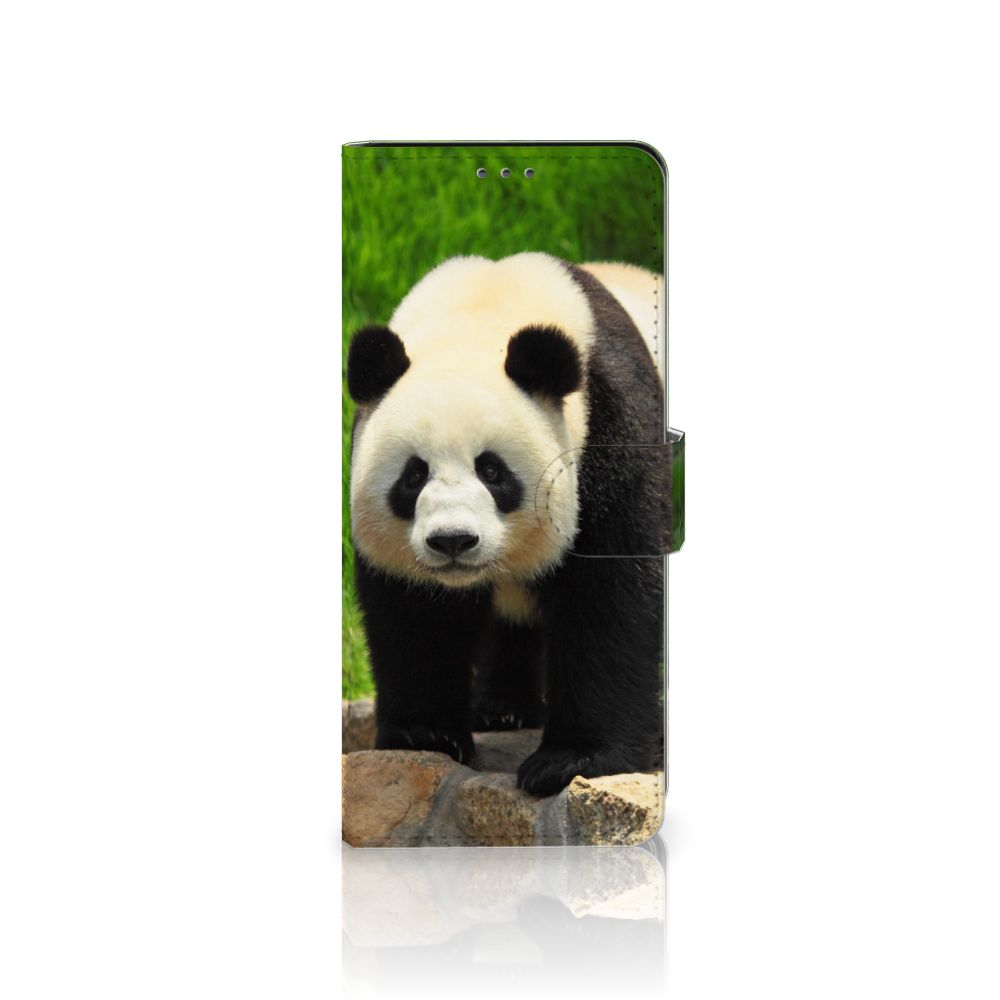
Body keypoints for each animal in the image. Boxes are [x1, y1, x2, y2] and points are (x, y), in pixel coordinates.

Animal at [347, 252, 666, 796]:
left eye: (492, 471)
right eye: (414, 475)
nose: (453, 541)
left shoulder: (611, 428)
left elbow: (611, 593)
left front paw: (572, 759)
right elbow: (416, 613)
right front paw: (425, 734)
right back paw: (501, 709)